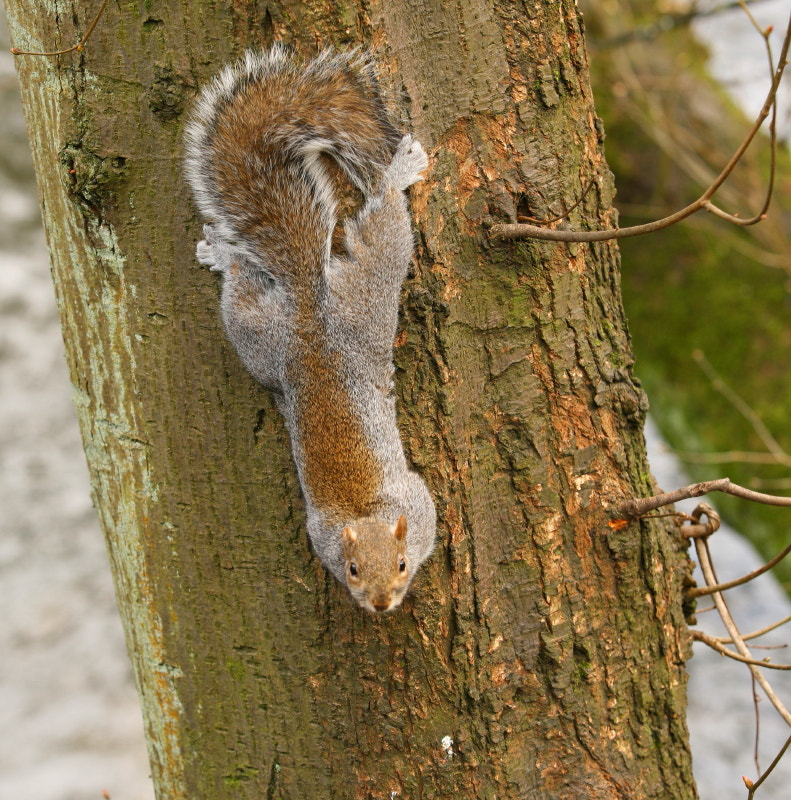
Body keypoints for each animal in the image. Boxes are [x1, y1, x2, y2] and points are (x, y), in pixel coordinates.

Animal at [183, 45, 436, 612]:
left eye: (403, 564)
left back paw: (399, 169)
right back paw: (222, 254)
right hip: (262, 338)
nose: (381, 604)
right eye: (352, 569)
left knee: (383, 219)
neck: (365, 514)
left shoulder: (420, 503)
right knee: (246, 284)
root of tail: (307, 314)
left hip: (358, 299)